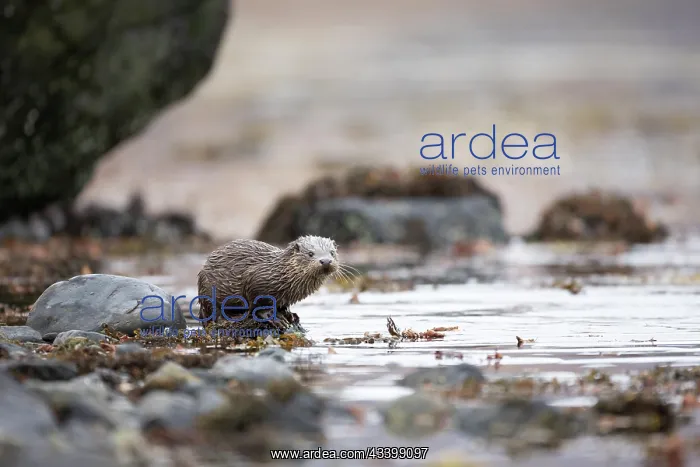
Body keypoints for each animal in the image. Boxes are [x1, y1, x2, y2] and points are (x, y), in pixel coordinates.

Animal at [196, 235, 340, 332]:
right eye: (310, 253)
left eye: (332, 253)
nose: (326, 261)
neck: (281, 275)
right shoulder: (255, 280)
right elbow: (258, 304)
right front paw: (275, 318)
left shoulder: (285, 297)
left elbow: (283, 305)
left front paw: (290, 315)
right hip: (207, 288)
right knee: (212, 314)